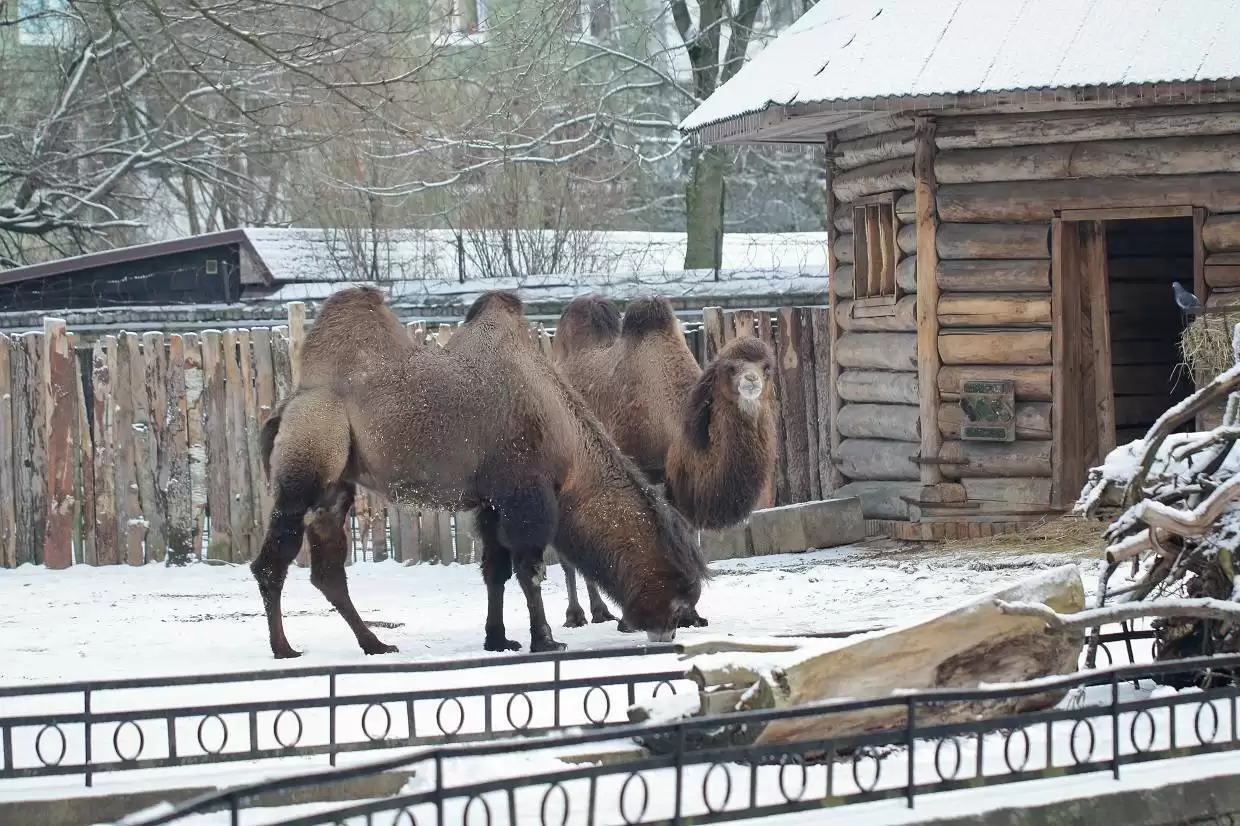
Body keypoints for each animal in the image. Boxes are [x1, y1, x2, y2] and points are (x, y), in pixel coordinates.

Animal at [252, 282, 714, 654]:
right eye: (682, 590)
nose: (672, 630)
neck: (569, 448)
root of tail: (288, 403)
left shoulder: (492, 502)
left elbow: (496, 572)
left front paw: (498, 639)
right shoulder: (526, 494)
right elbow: (530, 570)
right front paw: (545, 639)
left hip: (336, 485)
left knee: (327, 571)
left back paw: (376, 644)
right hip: (310, 453)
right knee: (273, 559)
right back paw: (284, 649)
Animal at [553, 293, 773, 625]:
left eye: (766, 367)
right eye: (731, 368)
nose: (751, 381)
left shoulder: (677, 486)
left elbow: (688, 537)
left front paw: (691, 614)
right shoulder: (647, 472)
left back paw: (600, 612)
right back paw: (575, 615)